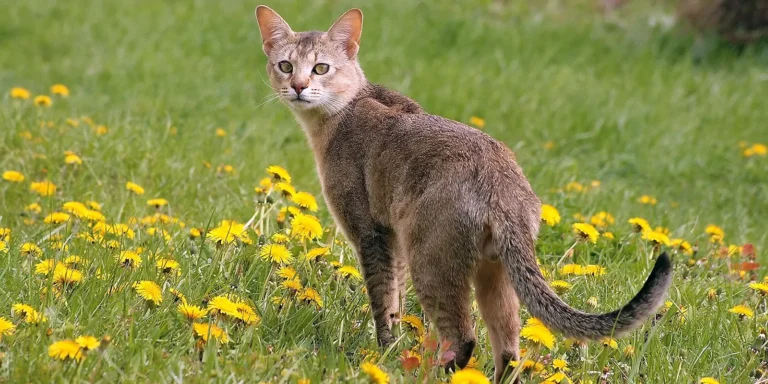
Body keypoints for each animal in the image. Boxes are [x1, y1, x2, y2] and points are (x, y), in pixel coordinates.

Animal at [254, 6, 672, 384]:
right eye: (286, 66)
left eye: (321, 68)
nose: (298, 87)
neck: (344, 112)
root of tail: (503, 183)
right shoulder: (394, 240)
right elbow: (396, 302)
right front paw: (394, 347)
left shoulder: (371, 234)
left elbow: (382, 300)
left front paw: (384, 353)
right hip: (492, 272)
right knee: (509, 350)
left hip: (431, 259)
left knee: (464, 337)